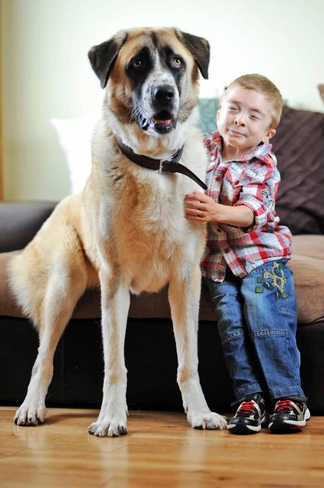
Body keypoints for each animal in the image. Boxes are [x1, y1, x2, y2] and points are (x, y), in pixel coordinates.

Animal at [10, 28, 228, 436]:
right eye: (137, 63)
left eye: (177, 61)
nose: (164, 94)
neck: (155, 164)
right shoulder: (113, 284)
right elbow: (114, 362)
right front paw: (111, 416)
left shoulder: (185, 281)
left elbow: (188, 359)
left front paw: (200, 412)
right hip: (63, 286)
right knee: (42, 357)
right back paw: (32, 406)